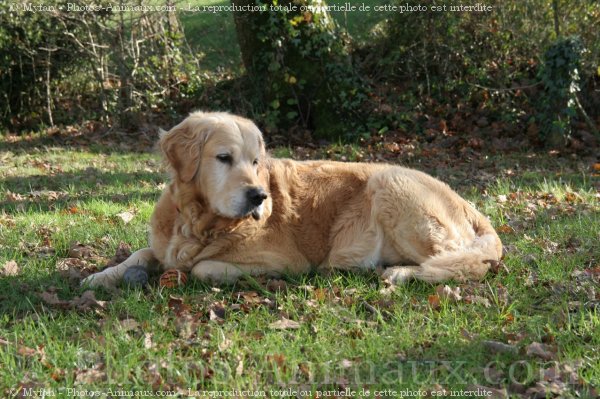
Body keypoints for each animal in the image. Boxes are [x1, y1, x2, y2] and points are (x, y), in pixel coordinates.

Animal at [83, 111, 502, 290]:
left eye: (256, 161)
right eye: (224, 158)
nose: (258, 196)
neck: (197, 221)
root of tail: (468, 204)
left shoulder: (286, 260)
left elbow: (202, 267)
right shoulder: (163, 244)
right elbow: (140, 255)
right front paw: (101, 274)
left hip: (390, 182)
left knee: (465, 264)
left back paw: (402, 273)